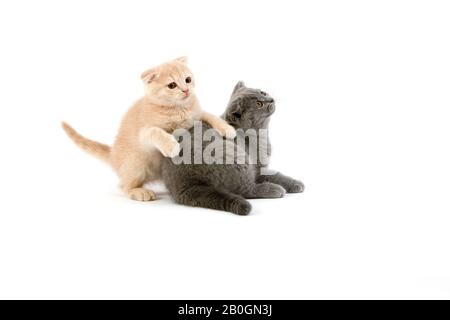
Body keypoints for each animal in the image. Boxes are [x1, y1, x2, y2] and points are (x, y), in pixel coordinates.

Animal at [62, 55, 236, 200]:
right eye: (172, 85)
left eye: (188, 79)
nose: (186, 90)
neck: (178, 109)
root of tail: (113, 155)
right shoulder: (144, 131)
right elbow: (156, 131)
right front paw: (171, 145)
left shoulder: (197, 114)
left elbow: (209, 115)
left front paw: (227, 129)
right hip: (136, 162)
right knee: (124, 185)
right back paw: (139, 192)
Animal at [160, 81, 304, 215]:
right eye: (259, 104)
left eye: (262, 92)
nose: (271, 99)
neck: (259, 134)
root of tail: (184, 184)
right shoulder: (258, 170)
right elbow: (277, 176)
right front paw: (296, 184)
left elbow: (277, 174)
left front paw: (295, 183)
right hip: (234, 156)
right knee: (245, 190)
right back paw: (274, 189)